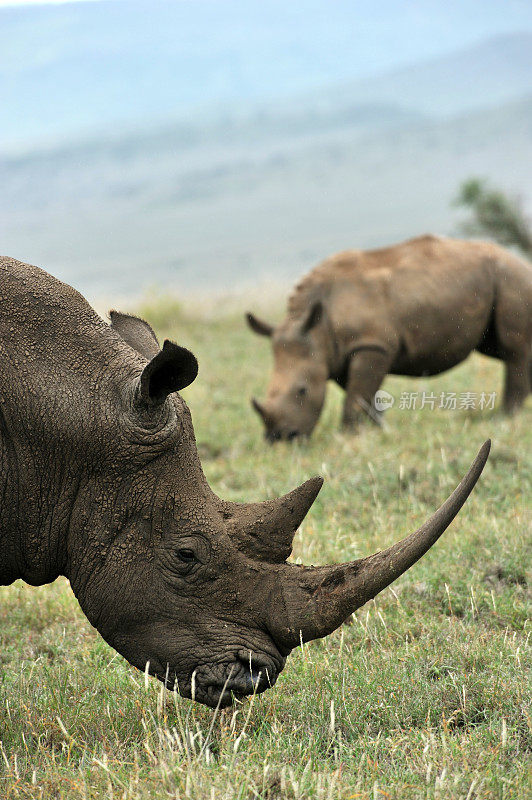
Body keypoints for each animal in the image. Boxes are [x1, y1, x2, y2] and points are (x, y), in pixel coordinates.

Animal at [246, 234, 532, 440]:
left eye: (302, 390)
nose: (280, 438)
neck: (318, 330)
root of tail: (524, 264)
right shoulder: (342, 352)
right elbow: (362, 394)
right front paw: (377, 429)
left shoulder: (371, 345)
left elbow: (357, 395)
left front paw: (349, 436)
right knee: (499, 348)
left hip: (511, 278)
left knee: (513, 350)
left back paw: (505, 417)